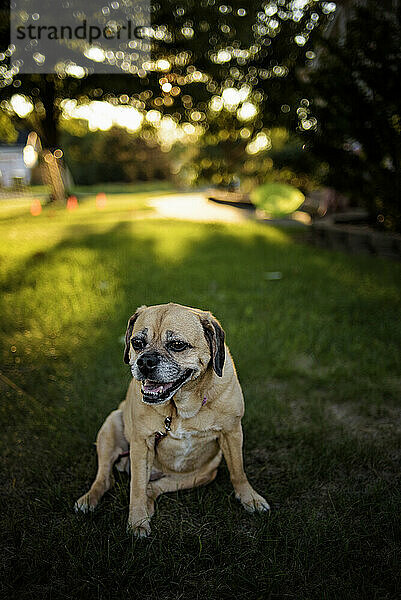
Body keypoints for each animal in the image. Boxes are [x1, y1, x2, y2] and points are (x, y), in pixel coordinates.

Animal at [75, 302, 268, 536]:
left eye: (177, 345)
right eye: (137, 343)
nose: (145, 361)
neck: (181, 407)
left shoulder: (232, 433)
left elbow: (238, 471)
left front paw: (250, 498)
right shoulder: (141, 443)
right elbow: (136, 488)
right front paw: (137, 521)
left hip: (205, 473)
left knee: (154, 487)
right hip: (111, 427)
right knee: (106, 478)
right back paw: (89, 500)